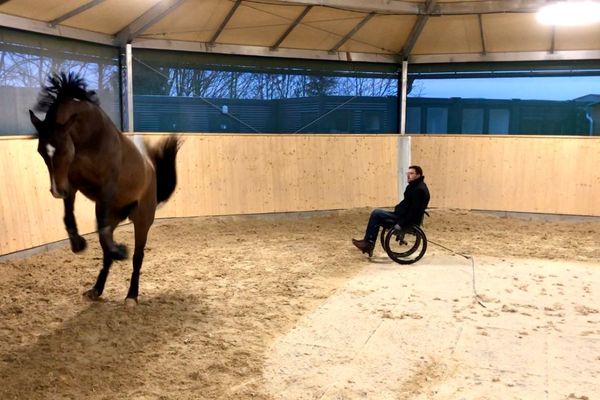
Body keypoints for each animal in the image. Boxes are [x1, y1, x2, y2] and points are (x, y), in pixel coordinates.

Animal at [29, 71, 180, 304]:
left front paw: (120, 251)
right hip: (115, 215)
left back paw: (131, 295)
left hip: (142, 220)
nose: (56, 191)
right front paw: (78, 244)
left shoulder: (105, 190)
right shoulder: (72, 186)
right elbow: (70, 218)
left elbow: (101, 231)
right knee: (106, 248)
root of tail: (151, 170)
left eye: (64, 150)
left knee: (137, 256)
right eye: (40, 151)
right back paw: (97, 289)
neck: (89, 140)